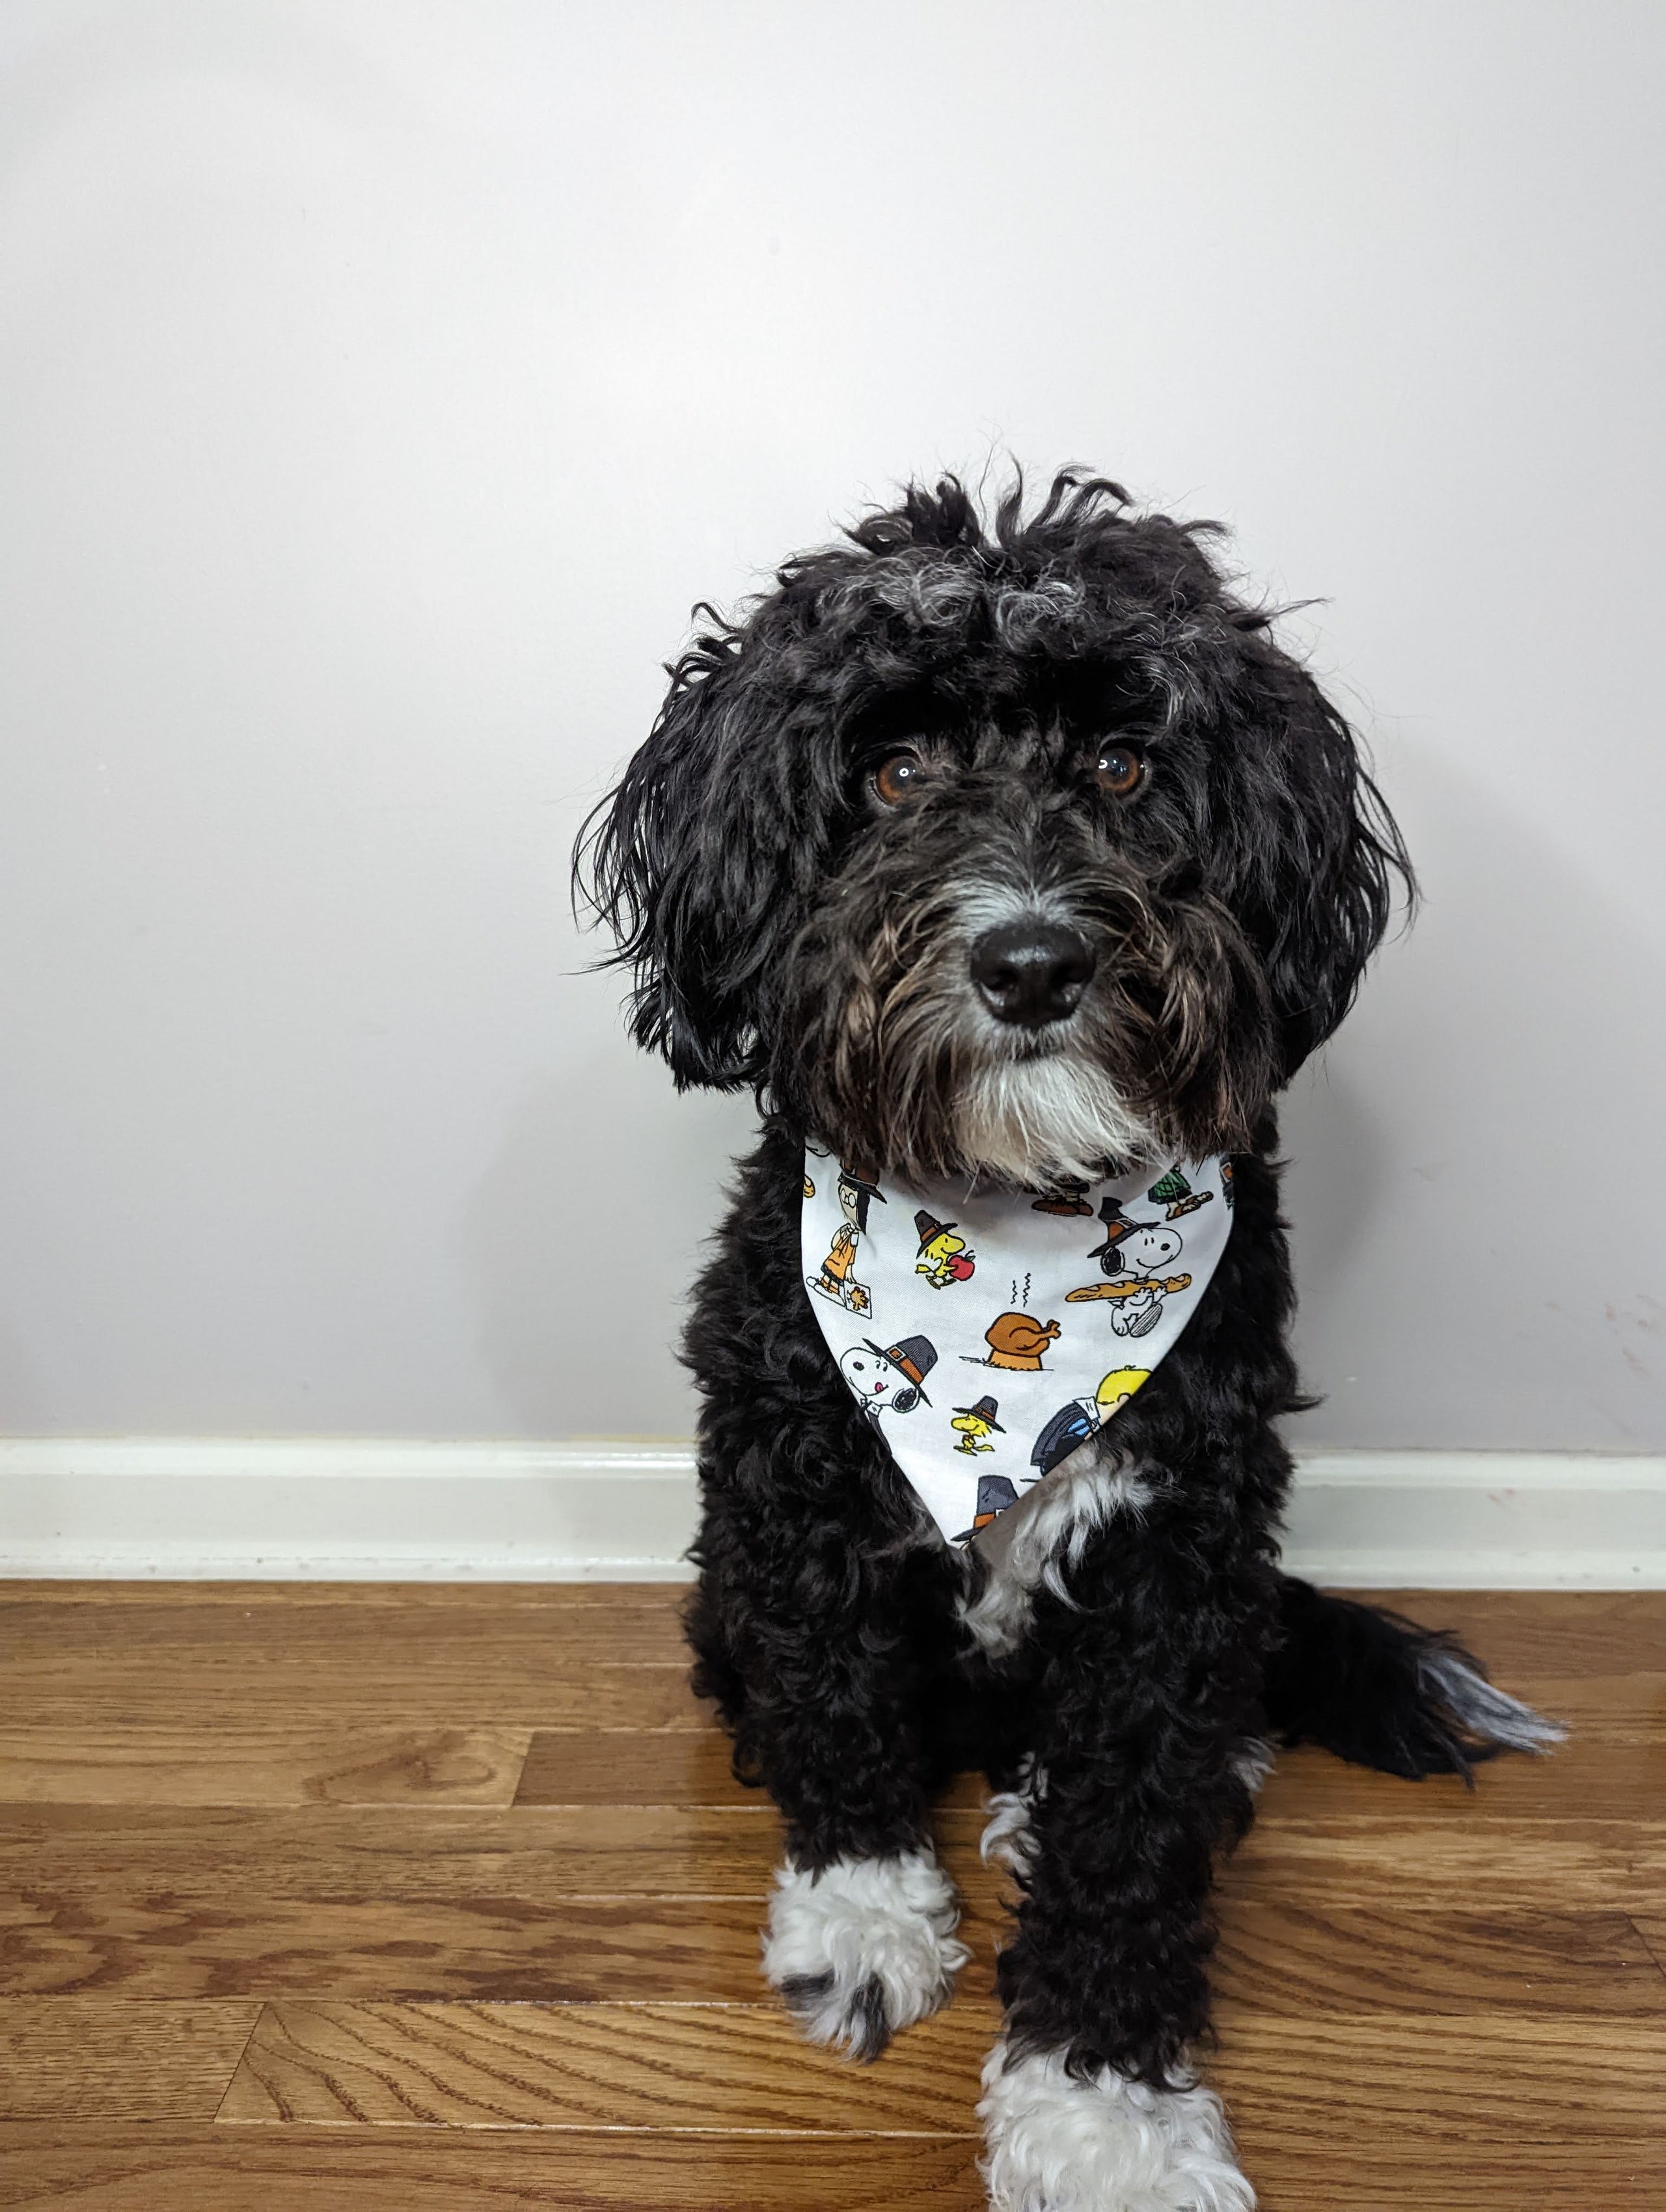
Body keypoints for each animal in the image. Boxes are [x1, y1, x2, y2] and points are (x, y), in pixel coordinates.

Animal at [575, 476, 1557, 2203]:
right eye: (890, 769)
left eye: (1119, 762)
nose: (1029, 960)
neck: (1003, 1256)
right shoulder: (792, 1496)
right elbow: (836, 1717)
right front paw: (858, 1917)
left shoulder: (1174, 1551)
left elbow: (1131, 1826)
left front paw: (1106, 2115)